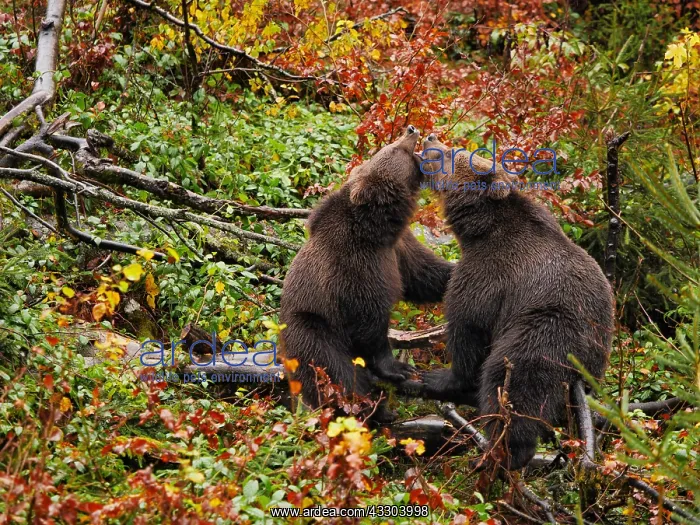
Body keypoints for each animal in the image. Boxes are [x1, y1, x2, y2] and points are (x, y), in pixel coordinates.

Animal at [280, 126, 454, 423]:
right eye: (393, 148)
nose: (411, 129)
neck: (376, 229)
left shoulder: (398, 249)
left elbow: (422, 274)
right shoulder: (355, 264)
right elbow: (367, 316)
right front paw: (398, 368)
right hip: (312, 330)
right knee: (338, 374)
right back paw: (375, 410)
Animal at [419, 134, 614, 470]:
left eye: (453, 153)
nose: (430, 137)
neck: (480, 229)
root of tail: (582, 370)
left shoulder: (490, 274)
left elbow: (468, 325)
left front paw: (442, 376)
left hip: (546, 331)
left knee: (513, 382)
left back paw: (503, 451)